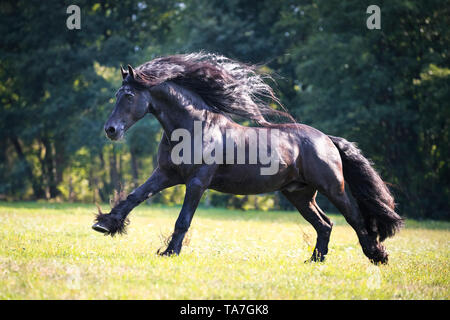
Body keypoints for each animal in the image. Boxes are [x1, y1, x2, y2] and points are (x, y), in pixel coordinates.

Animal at [92, 52, 404, 262]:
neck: (193, 127)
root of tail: (327, 139)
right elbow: (134, 196)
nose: (110, 130)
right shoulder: (166, 174)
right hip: (299, 194)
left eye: (128, 96)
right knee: (325, 224)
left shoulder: (197, 182)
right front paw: (104, 224)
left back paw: (377, 256)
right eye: (117, 94)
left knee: (355, 219)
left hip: (332, 188)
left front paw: (170, 252)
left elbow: (183, 219)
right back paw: (315, 261)